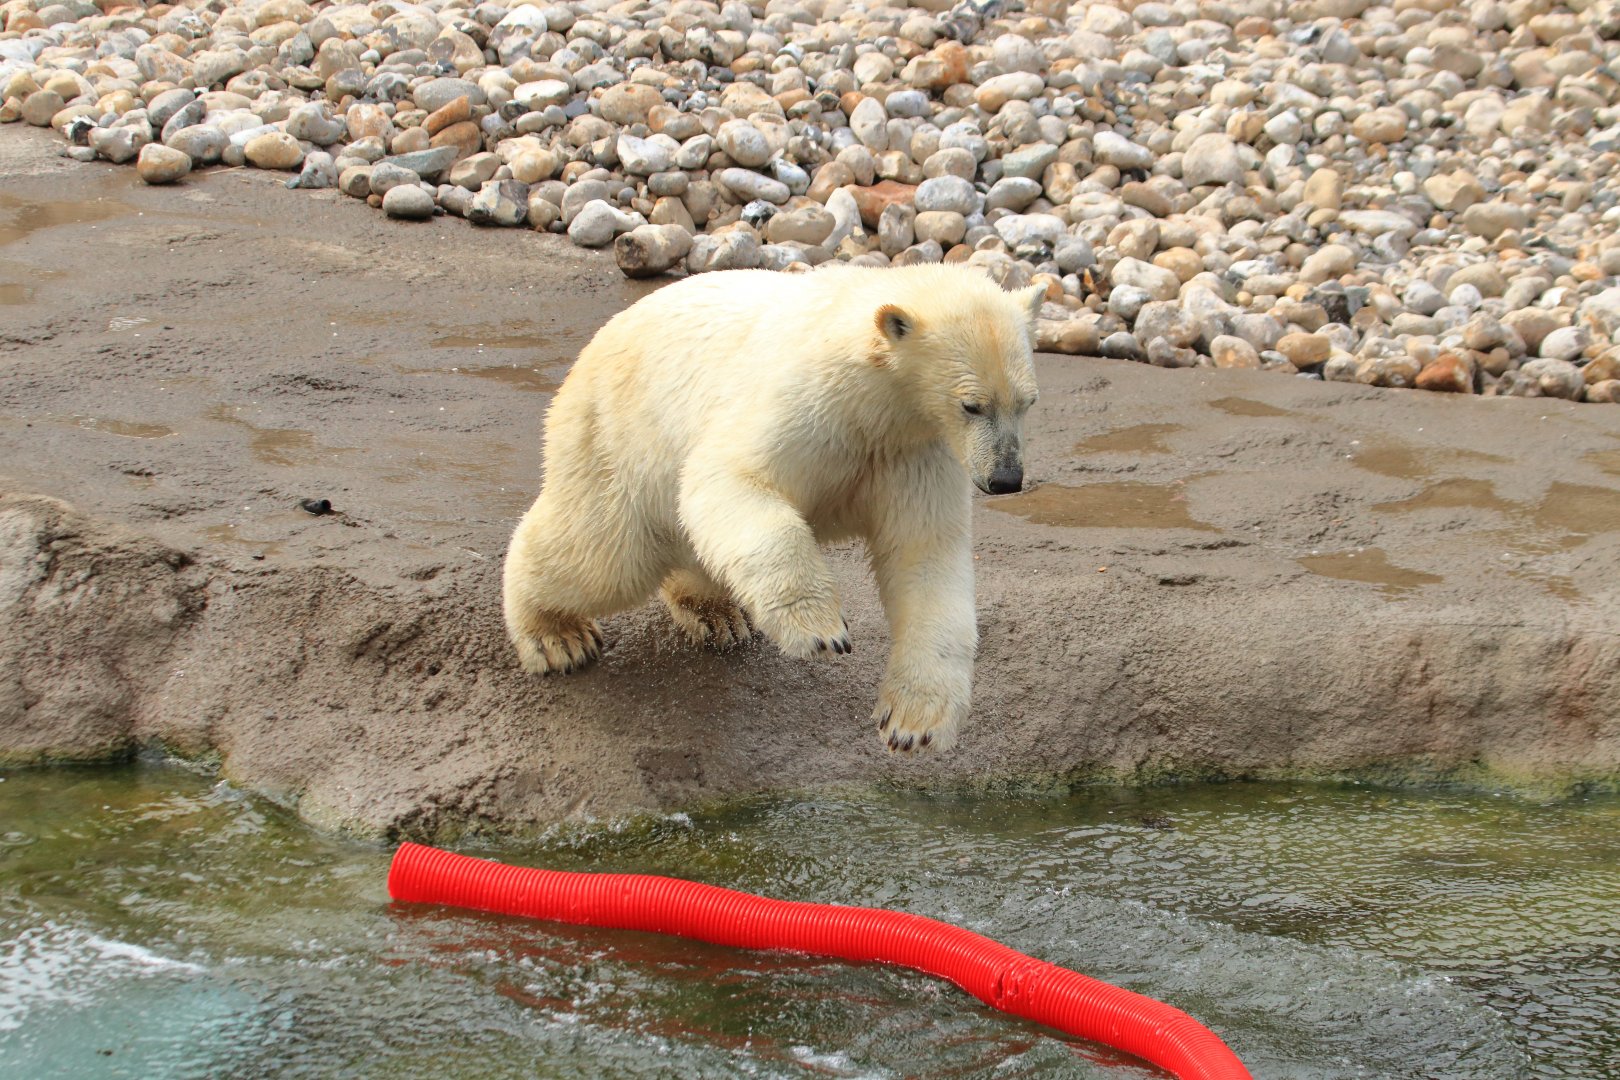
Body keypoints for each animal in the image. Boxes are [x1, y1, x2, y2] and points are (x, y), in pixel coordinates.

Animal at [502, 263, 1042, 753]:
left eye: (1027, 402)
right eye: (972, 404)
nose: (1005, 479)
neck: (873, 400)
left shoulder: (911, 451)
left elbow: (925, 558)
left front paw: (914, 724)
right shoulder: (808, 403)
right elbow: (726, 478)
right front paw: (821, 631)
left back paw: (717, 614)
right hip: (618, 436)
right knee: (601, 555)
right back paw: (558, 637)